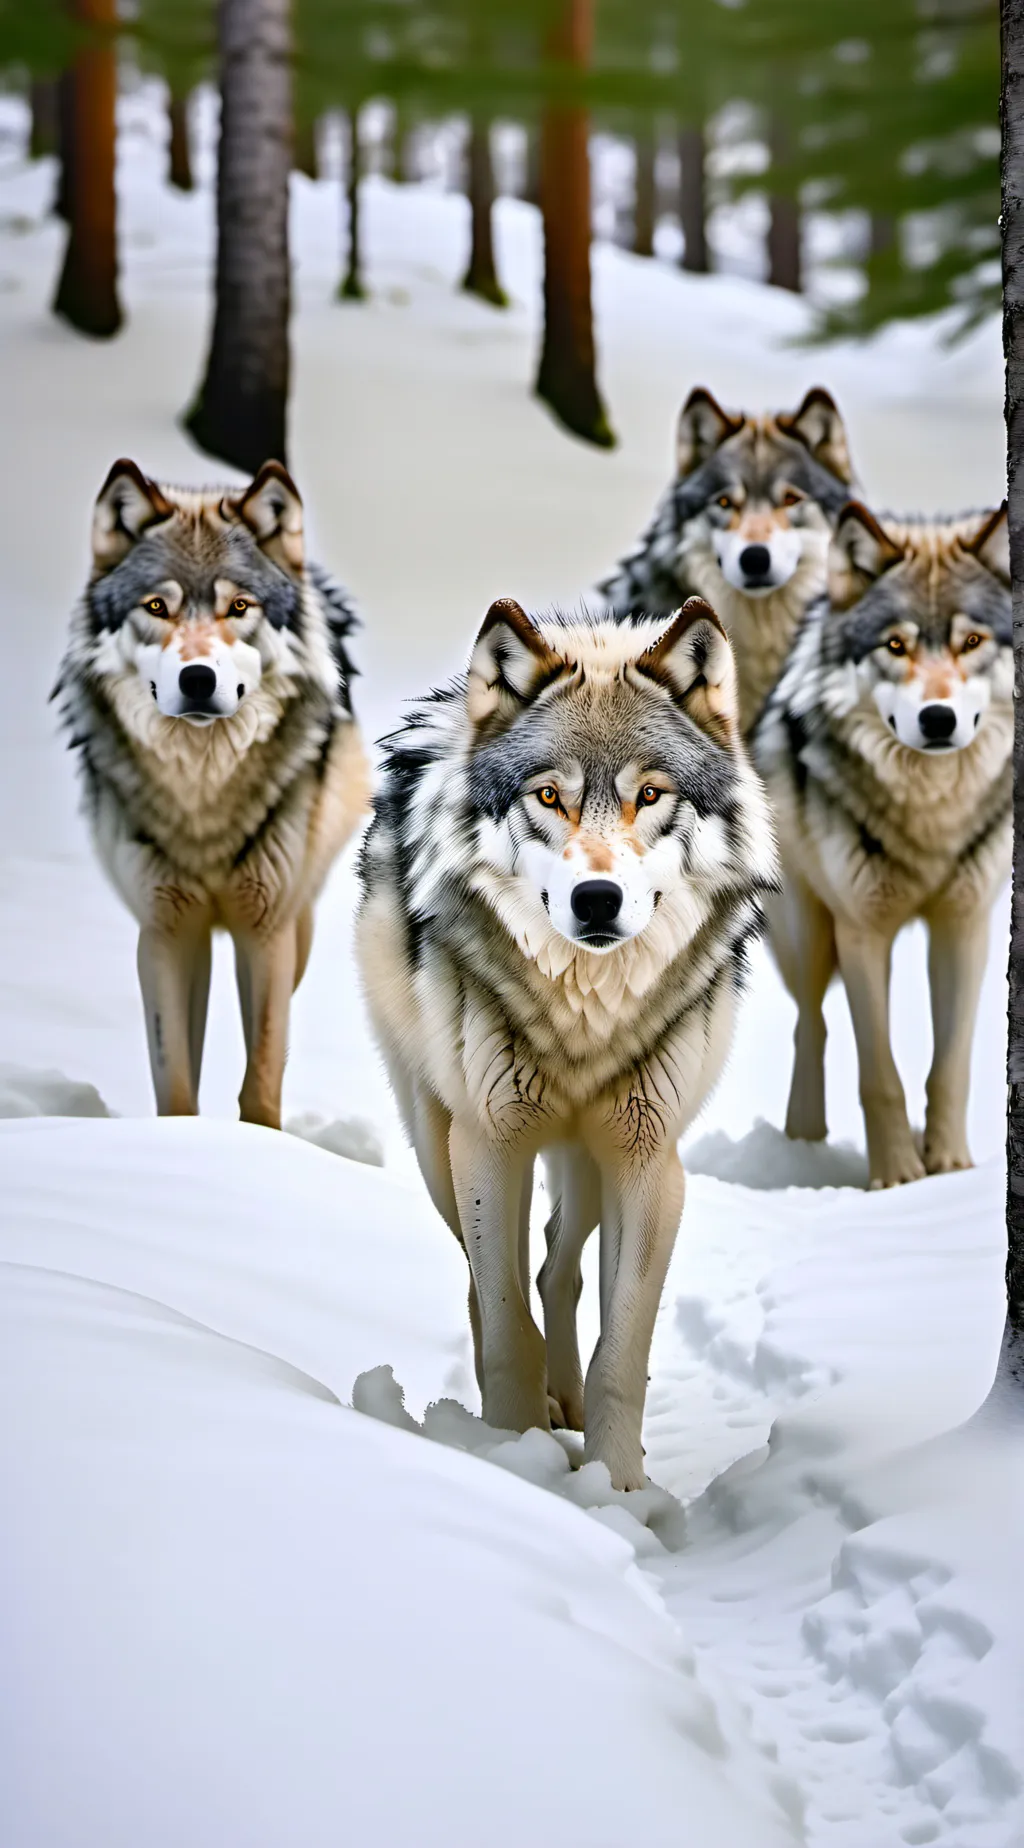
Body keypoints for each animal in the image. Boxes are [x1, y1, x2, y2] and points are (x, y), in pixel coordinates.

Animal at [55, 457, 370, 1128]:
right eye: (157, 606)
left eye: (239, 606)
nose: (197, 679)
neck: (204, 797)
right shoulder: (165, 930)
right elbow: (174, 1079)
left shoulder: (267, 929)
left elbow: (264, 1073)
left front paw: (259, 1143)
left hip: (298, 921)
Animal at [356, 596, 778, 1489]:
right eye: (549, 795)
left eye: (650, 794)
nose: (596, 899)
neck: (585, 1019)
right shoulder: (489, 1145)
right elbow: (505, 1321)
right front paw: (516, 1462)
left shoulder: (648, 1162)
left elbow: (623, 1350)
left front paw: (620, 1492)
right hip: (437, 1143)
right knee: (486, 1283)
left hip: (585, 1162)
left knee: (556, 1260)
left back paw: (570, 1402)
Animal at [754, 500, 1011, 1189]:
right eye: (895, 645)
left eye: (971, 642)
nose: (938, 719)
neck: (931, 818)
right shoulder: (863, 931)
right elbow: (880, 1077)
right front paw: (896, 1180)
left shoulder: (965, 927)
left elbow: (950, 1068)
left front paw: (948, 1168)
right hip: (809, 937)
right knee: (809, 1022)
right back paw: (802, 1143)